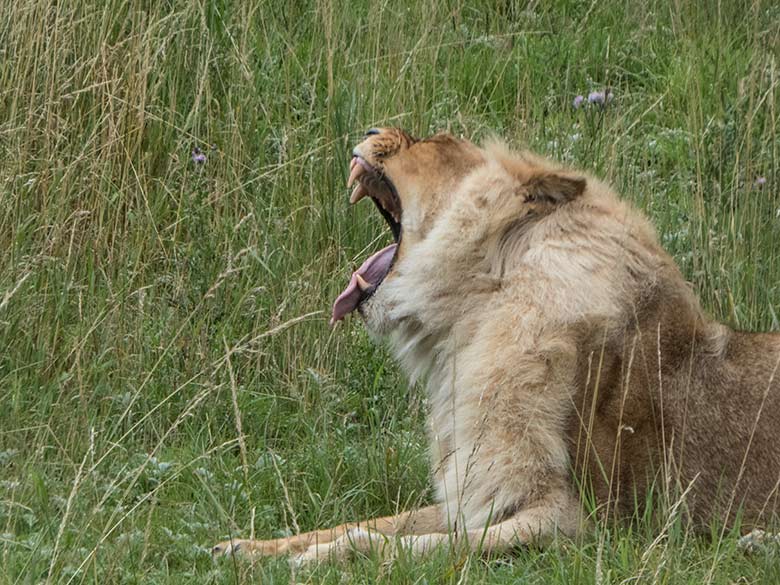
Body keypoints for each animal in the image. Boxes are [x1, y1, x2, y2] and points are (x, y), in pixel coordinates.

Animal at [213, 126, 780, 560]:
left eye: (433, 141)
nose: (371, 129)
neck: (473, 320)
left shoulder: (574, 520)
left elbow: (397, 543)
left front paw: (319, 559)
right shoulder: (475, 490)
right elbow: (377, 522)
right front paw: (246, 547)